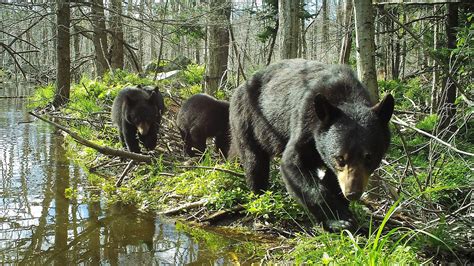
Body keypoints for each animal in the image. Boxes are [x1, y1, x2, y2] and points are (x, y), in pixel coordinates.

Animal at [230, 59, 392, 232]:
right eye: (340, 158)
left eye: (369, 157)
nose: (352, 193)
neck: (346, 96)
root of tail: (240, 87)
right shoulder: (305, 123)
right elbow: (294, 164)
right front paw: (338, 220)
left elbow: (333, 179)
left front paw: (342, 211)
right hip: (246, 119)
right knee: (254, 162)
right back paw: (260, 197)